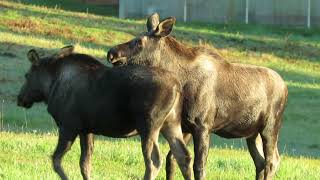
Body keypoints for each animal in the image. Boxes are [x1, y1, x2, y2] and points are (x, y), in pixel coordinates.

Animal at [16, 46, 192, 180]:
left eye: (27, 75)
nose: (20, 98)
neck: (51, 86)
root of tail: (177, 87)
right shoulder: (86, 130)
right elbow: (85, 164)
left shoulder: (69, 126)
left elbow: (56, 160)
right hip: (172, 124)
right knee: (183, 156)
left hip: (149, 126)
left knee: (154, 161)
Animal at [108, 13, 290, 180]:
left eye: (139, 42)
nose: (112, 53)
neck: (181, 80)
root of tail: (285, 88)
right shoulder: (185, 125)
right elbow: (172, 159)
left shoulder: (202, 126)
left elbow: (199, 167)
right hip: (252, 134)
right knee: (260, 162)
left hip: (270, 127)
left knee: (272, 161)